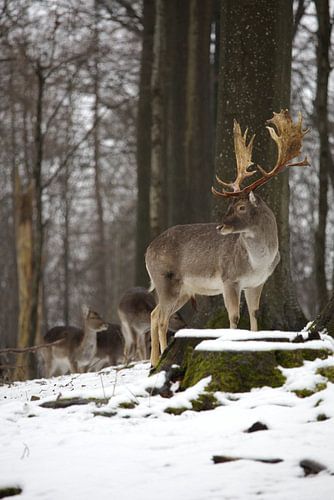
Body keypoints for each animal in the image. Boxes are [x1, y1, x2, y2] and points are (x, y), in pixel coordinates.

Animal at [145, 110, 310, 368]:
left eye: (241, 207)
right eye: (230, 206)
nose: (220, 226)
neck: (258, 262)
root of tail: (147, 250)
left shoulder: (257, 282)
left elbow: (254, 314)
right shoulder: (229, 278)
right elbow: (234, 316)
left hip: (184, 289)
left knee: (154, 314)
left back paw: (153, 362)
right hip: (165, 279)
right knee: (161, 318)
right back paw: (161, 358)